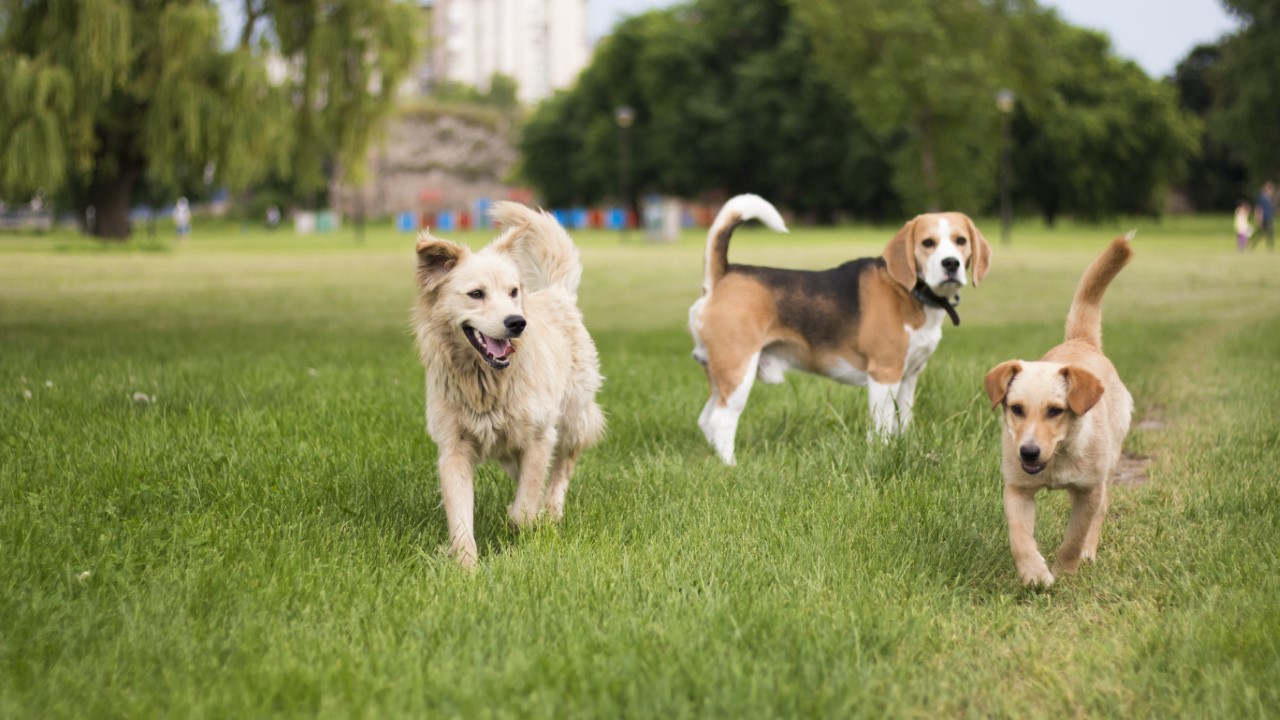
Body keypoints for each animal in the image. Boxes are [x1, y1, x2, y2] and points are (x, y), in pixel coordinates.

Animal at [412, 202, 606, 566]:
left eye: (513, 291)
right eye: (476, 294)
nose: (517, 323)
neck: (487, 381)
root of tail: (556, 292)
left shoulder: (539, 437)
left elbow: (523, 509)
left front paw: (527, 527)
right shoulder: (453, 448)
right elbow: (460, 518)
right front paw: (466, 567)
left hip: (572, 418)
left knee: (562, 465)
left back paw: (552, 510)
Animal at [691, 193, 988, 461]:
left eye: (961, 241)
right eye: (928, 243)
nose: (951, 263)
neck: (910, 292)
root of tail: (724, 274)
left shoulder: (909, 375)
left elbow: (903, 421)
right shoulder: (884, 373)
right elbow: (881, 426)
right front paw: (881, 455)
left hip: (720, 373)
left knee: (706, 419)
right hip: (738, 369)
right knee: (721, 419)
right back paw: (731, 466)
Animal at [983, 234, 1136, 584]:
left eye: (1055, 411)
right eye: (1016, 408)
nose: (1028, 452)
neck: (1058, 456)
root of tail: (1081, 341)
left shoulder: (1089, 491)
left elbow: (1075, 536)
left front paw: (1066, 571)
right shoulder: (1017, 489)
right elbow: (1020, 537)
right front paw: (1034, 574)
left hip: (1108, 464)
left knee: (1100, 511)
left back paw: (1089, 553)